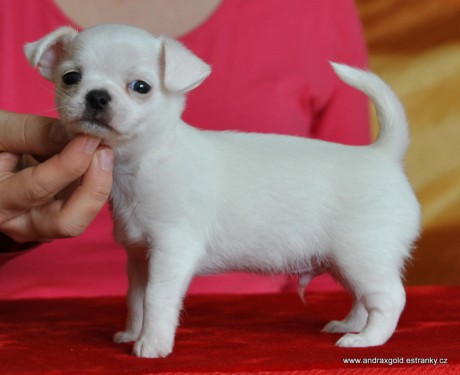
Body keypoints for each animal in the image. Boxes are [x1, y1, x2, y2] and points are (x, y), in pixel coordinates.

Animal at [25, 22, 420, 358]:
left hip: (362, 254)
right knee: (363, 299)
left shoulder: (172, 251)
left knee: (390, 298)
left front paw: (151, 345)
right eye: (71, 78)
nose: (96, 96)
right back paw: (351, 325)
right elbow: (136, 299)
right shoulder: (139, 258)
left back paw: (367, 339)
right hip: (346, 262)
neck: (142, 162)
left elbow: (156, 300)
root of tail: (383, 154)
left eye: (141, 87)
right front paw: (133, 333)